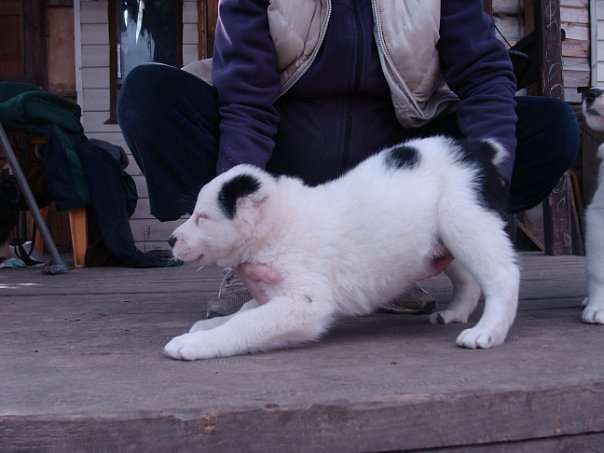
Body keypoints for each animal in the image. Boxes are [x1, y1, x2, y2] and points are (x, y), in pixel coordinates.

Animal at [164, 135, 520, 360]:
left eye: (202, 217)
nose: (171, 239)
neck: (279, 223)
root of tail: (476, 149)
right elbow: (246, 311)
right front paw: (209, 325)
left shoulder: (304, 302)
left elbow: (247, 323)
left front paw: (195, 343)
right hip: (445, 238)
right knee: (469, 279)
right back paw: (456, 313)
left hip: (464, 217)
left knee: (503, 276)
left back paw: (487, 332)